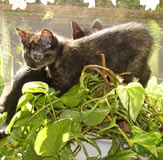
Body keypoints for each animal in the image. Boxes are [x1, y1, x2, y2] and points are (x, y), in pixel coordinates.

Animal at [0, 21, 153, 138]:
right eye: (25, 56)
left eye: (37, 56)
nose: (30, 64)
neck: (58, 57)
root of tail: (146, 31)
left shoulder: (64, 84)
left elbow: (58, 100)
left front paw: (52, 112)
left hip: (132, 65)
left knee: (145, 74)